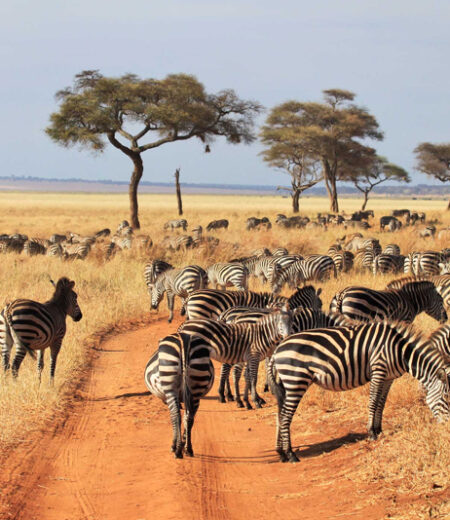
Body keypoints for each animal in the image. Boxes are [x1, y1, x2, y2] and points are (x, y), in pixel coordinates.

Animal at [268, 320, 450, 464]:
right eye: (446, 399)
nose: (446, 429)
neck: (399, 350)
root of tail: (277, 350)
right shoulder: (378, 369)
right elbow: (373, 402)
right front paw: (371, 433)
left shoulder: (388, 378)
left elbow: (382, 404)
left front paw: (379, 430)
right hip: (296, 380)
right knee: (286, 416)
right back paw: (291, 454)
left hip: (286, 384)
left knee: (279, 415)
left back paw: (281, 453)